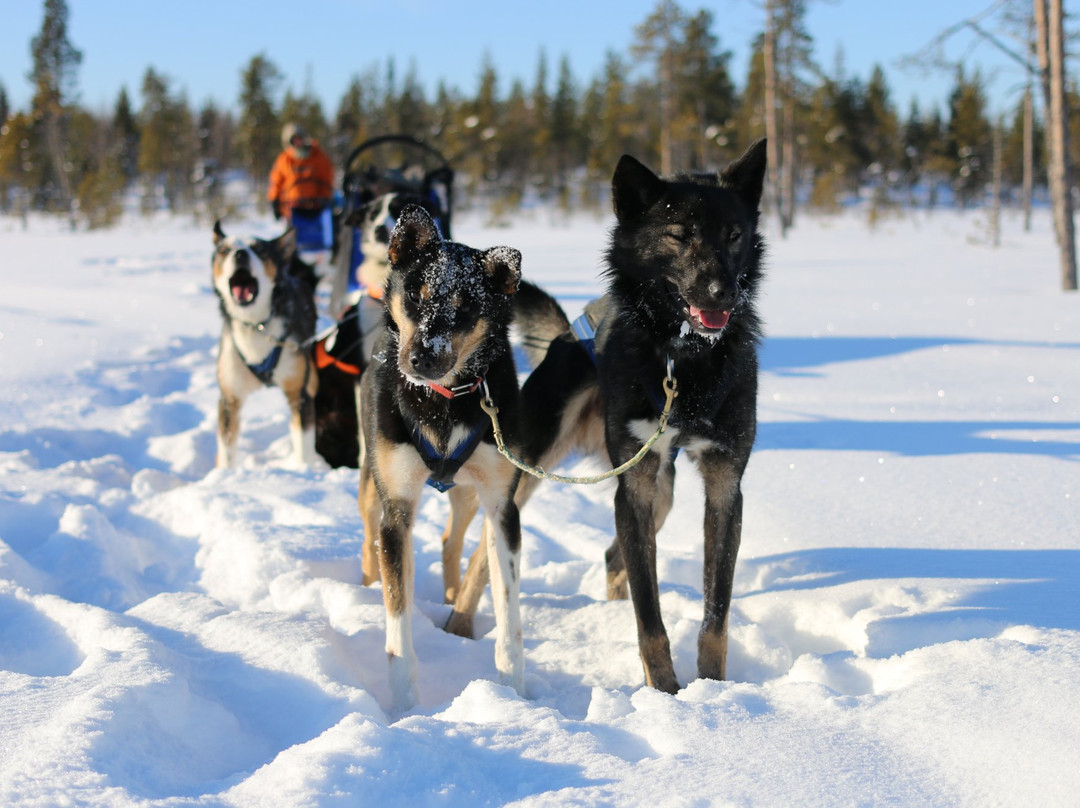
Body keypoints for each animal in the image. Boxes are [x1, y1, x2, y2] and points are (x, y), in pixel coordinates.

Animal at [210, 222, 317, 473]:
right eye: (224, 250)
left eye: (259, 250)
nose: (240, 254)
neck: (256, 326)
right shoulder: (229, 398)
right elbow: (227, 448)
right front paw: (225, 475)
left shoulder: (298, 394)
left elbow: (303, 446)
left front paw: (304, 471)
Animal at [358, 205, 527, 708]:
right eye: (417, 294)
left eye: (466, 308)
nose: (422, 359)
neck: (443, 401)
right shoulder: (397, 510)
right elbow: (397, 624)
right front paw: (405, 708)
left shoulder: (502, 507)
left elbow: (509, 613)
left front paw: (515, 693)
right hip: (373, 484)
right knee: (370, 534)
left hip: (469, 494)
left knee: (452, 537)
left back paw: (452, 593)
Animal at [447, 140, 768, 695]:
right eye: (679, 235)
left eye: (734, 235)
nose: (722, 291)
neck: (680, 359)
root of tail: (569, 330)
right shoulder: (632, 488)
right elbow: (650, 617)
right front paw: (666, 694)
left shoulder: (725, 486)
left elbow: (715, 613)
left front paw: (714, 691)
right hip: (530, 470)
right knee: (481, 556)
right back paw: (458, 628)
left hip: (662, 492)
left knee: (615, 557)